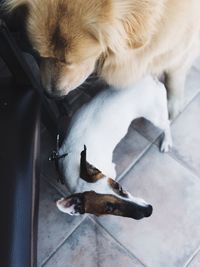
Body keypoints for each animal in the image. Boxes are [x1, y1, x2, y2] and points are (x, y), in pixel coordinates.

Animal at [4, 0, 200, 118]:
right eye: (39, 54)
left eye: (72, 61)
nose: (51, 94)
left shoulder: (182, 40)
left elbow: (174, 75)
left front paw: (173, 104)